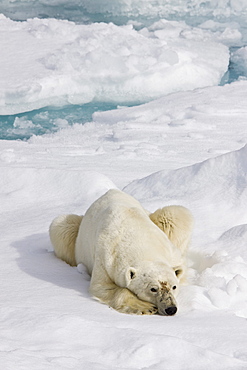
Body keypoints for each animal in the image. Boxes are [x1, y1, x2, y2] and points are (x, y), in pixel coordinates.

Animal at [49, 191, 193, 316]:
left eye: (174, 286)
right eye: (153, 289)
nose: (171, 309)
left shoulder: (171, 253)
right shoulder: (105, 259)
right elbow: (102, 287)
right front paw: (145, 307)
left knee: (176, 214)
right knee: (61, 227)